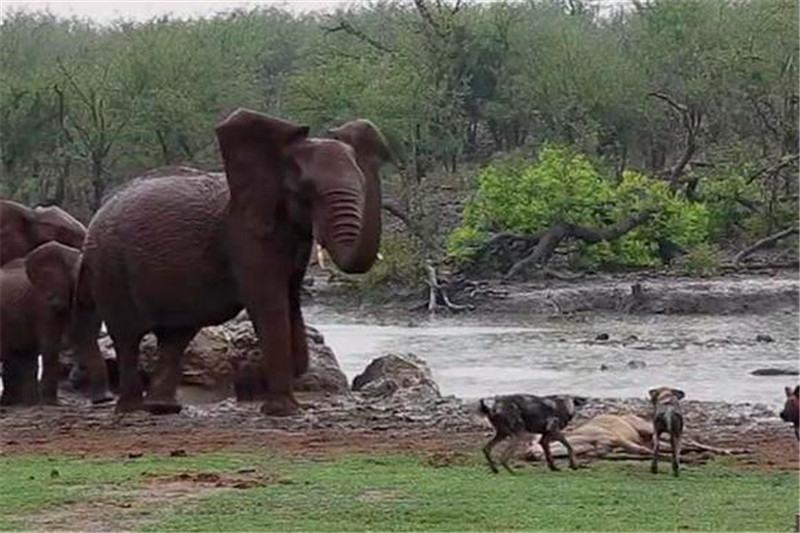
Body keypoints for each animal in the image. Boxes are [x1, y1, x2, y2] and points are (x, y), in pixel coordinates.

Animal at [0, 241, 109, 404]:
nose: (105, 399)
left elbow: (88, 341)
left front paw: (102, 399)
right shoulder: (43, 304)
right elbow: (50, 347)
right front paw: (50, 402)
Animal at [81, 108, 390, 416]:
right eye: (307, 190)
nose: (357, 130)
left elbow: (290, 299)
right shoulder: (244, 235)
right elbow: (267, 301)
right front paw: (282, 411)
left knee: (176, 335)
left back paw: (163, 408)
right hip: (107, 264)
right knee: (127, 336)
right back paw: (131, 409)